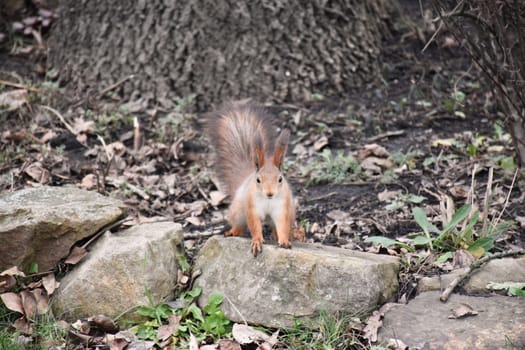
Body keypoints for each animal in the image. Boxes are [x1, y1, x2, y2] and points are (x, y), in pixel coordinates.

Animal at [205, 102, 294, 256]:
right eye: (258, 180)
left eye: (280, 179)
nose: (270, 193)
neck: (268, 200)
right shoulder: (252, 207)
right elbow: (254, 225)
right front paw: (257, 241)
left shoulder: (282, 207)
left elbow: (283, 225)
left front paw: (284, 240)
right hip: (238, 211)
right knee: (239, 225)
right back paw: (232, 232)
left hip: (292, 209)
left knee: (275, 227)